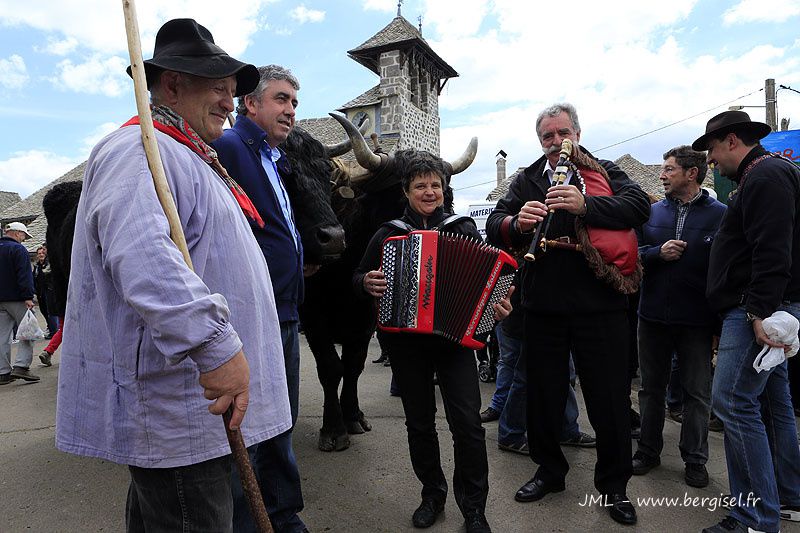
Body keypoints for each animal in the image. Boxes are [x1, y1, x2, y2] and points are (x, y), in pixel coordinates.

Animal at [282, 114, 476, 450]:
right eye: (402, 192)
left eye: (447, 193)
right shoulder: (314, 320)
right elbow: (331, 368)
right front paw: (333, 428)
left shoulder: (364, 321)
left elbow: (354, 365)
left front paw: (354, 416)